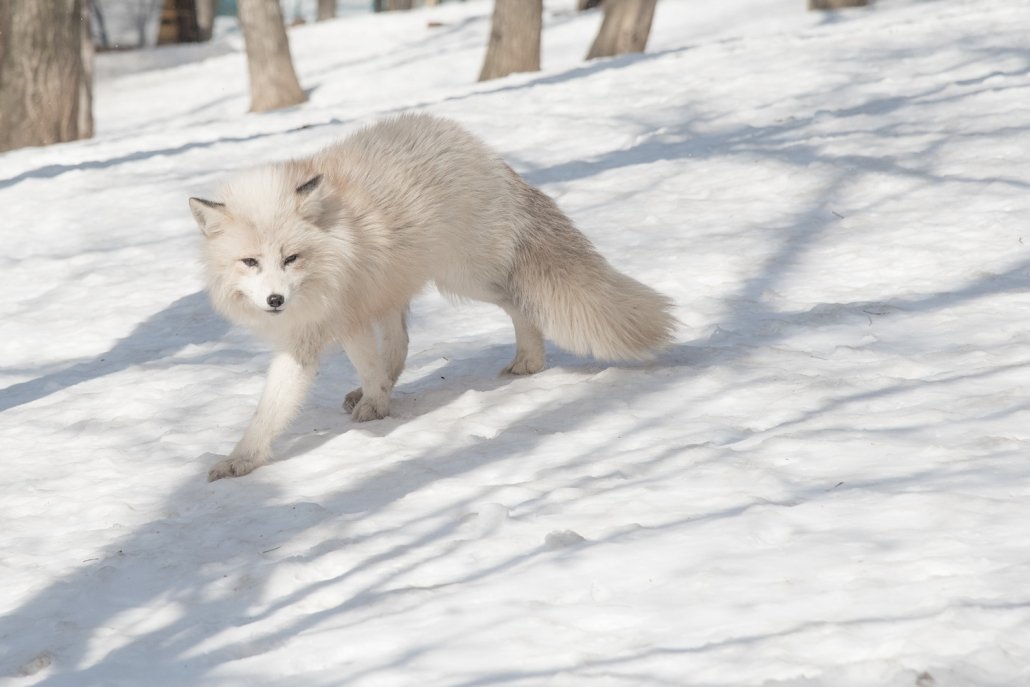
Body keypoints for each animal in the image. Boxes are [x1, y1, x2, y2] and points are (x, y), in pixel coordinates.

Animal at [191, 114, 675, 477]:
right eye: (250, 262)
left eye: (291, 258)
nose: (275, 301)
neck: (331, 253)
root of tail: (478, 147)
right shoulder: (314, 330)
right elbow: (275, 407)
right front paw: (243, 459)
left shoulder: (342, 317)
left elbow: (345, 373)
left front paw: (374, 408)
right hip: (399, 289)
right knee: (402, 343)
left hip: (467, 278)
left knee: (518, 303)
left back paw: (529, 361)